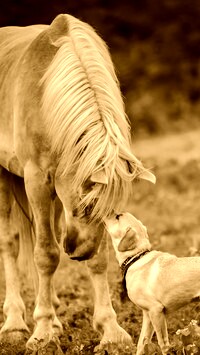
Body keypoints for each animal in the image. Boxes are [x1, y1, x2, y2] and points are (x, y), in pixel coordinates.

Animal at [0, 13, 155, 354]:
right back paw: (16, 323)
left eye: (114, 211)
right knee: (11, 243)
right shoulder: (37, 181)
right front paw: (42, 331)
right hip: (5, 177)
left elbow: (99, 259)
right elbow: (45, 255)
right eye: (86, 205)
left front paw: (110, 330)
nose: (77, 252)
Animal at [104, 213, 200, 354]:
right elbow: (142, 343)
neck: (136, 257)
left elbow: (163, 343)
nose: (104, 213)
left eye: (117, 217)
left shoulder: (156, 311)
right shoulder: (147, 314)